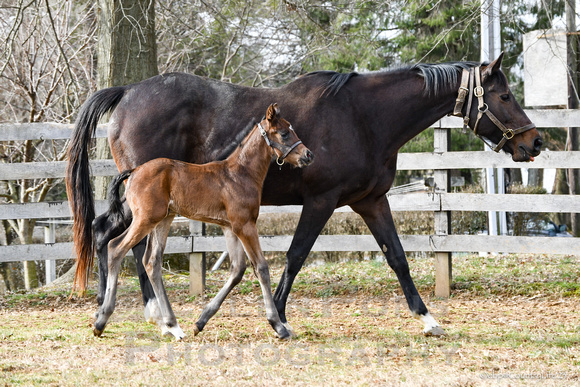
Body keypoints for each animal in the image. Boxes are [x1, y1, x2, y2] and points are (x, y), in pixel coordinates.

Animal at [94, 104, 312, 340]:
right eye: (284, 133)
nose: (308, 155)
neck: (240, 174)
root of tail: (133, 172)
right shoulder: (245, 225)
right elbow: (261, 267)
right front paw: (278, 325)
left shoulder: (230, 228)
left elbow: (237, 270)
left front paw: (201, 321)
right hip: (145, 219)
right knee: (115, 247)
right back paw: (101, 320)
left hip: (163, 220)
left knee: (152, 262)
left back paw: (173, 325)